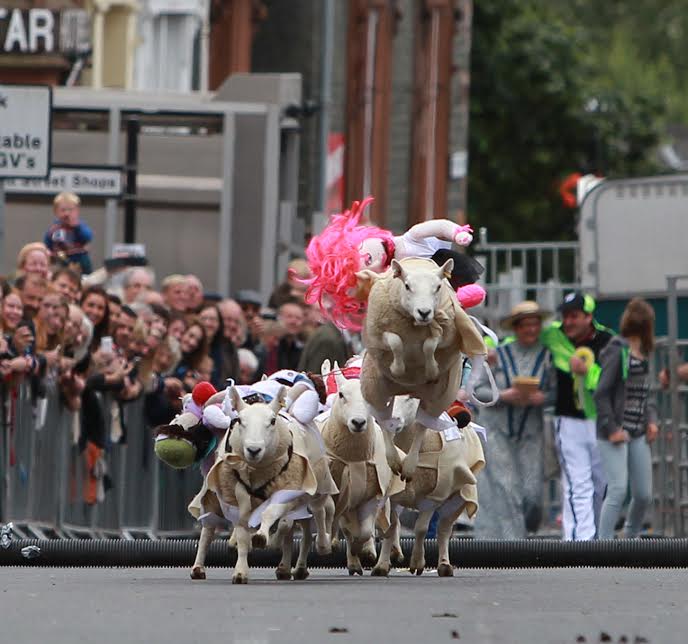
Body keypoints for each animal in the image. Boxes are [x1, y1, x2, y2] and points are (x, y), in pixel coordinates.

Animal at [318, 360, 406, 576]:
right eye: (341, 395)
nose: (358, 422)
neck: (353, 458)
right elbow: (338, 522)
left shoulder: (372, 494)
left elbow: (364, 531)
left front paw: (364, 551)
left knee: (388, 526)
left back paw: (378, 561)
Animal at [358, 258, 486, 478]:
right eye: (407, 286)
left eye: (438, 287)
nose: (424, 313)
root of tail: (409, 390)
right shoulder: (382, 334)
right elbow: (395, 341)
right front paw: (398, 368)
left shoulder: (444, 334)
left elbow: (429, 345)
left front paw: (431, 368)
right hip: (375, 386)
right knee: (383, 422)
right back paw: (393, 460)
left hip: (439, 395)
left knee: (421, 426)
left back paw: (409, 467)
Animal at [390, 394, 486, 576]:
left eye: (410, 399)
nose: (392, 420)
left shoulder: (434, 496)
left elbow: (421, 529)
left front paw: (417, 563)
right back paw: (395, 552)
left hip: (457, 500)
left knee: (444, 530)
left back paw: (444, 565)